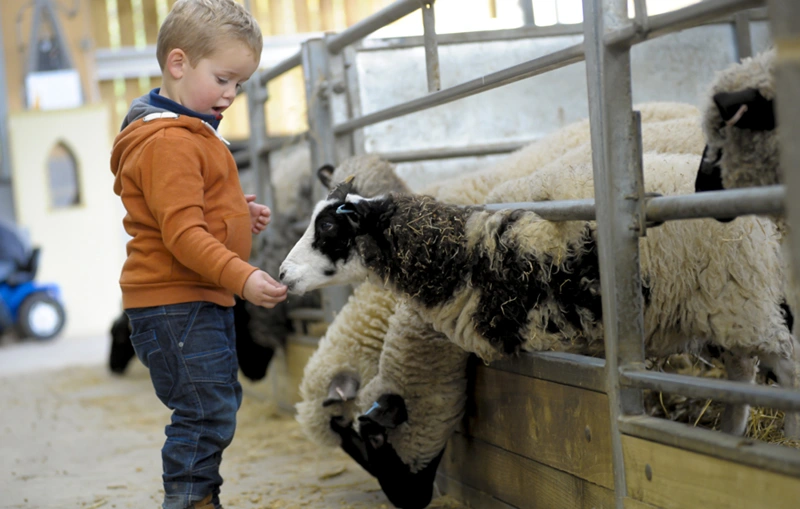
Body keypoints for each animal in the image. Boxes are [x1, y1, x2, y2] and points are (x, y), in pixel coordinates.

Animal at [282, 153, 800, 434]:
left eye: (328, 228)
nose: (283, 275)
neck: (461, 257)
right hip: (730, 307)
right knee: (742, 370)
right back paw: (733, 429)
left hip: (748, 296)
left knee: (785, 366)